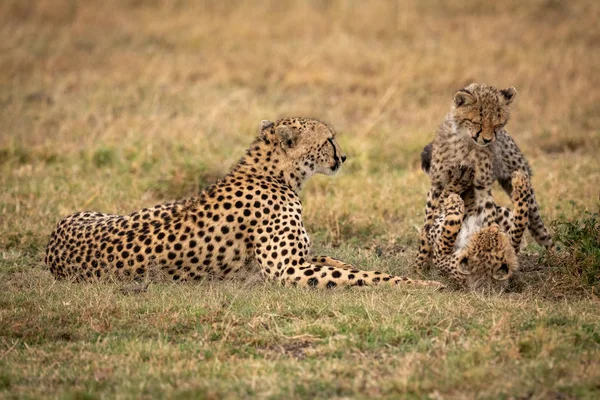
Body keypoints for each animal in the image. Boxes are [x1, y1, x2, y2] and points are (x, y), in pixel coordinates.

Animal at [45, 117, 446, 290]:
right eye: (329, 140)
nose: (343, 157)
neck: (274, 175)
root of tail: (55, 237)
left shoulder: (301, 257)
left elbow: (335, 260)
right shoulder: (287, 269)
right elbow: (359, 275)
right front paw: (418, 285)